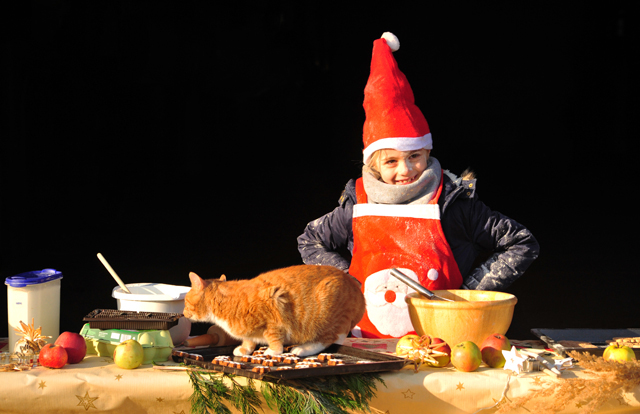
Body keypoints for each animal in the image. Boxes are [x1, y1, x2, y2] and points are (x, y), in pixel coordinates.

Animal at [184, 266, 364, 358]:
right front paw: (244, 349)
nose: (184, 313)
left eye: (185, 301)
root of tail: (357, 289)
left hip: (325, 314)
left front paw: (274, 350)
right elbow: (249, 340)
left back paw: (304, 348)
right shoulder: (250, 330)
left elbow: (274, 338)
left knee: (327, 339)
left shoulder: (275, 306)